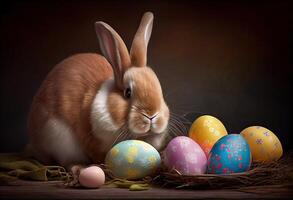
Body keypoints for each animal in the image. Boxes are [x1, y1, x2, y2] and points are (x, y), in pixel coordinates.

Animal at [27, 11, 170, 170]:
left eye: (159, 90)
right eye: (128, 92)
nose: (152, 115)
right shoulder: (91, 139)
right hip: (59, 140)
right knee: (66, 161)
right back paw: (79, 168)